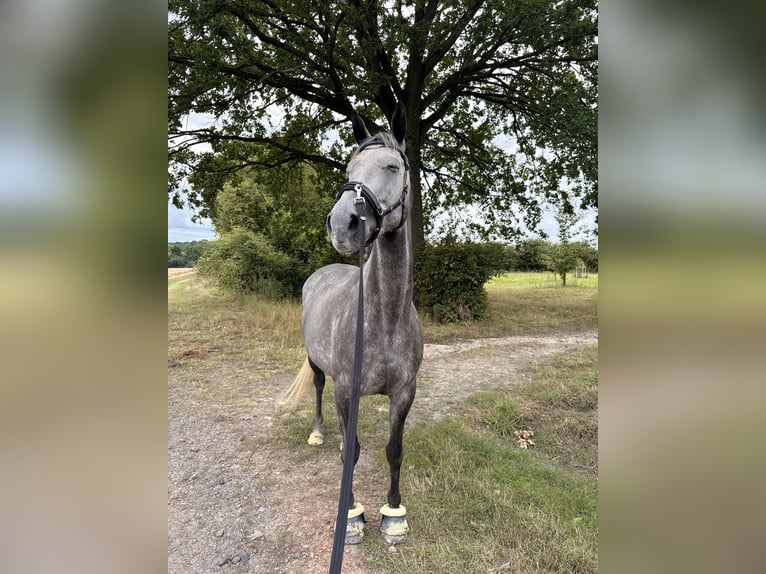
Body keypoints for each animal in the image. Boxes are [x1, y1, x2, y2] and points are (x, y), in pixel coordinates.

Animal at [283, 102, 423, 545]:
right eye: (349, 167)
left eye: (393, 166)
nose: (343, 223)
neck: (385, 319)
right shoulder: (347, 391)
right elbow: (351, 451)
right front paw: (351, 515)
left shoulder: (405, 392)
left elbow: (394, 450)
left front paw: (394, 514)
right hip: (317, 364)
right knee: (318, 389)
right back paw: (316, 432)